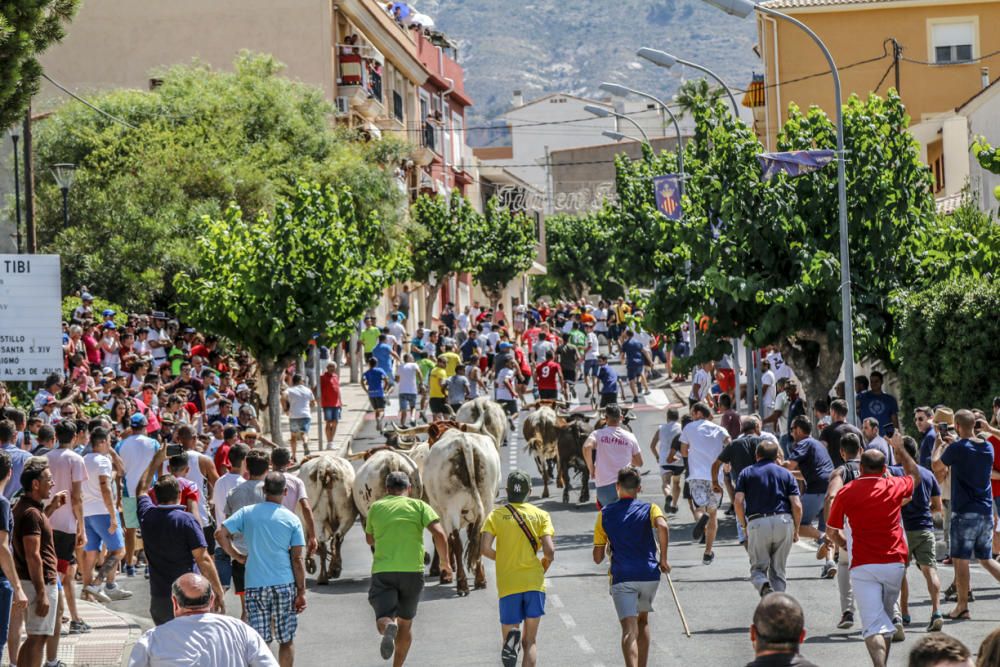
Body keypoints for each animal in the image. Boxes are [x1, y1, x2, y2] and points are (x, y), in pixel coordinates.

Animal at [298, 454, 358, 584]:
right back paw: (334, 569)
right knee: (337, 539)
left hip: (317, 519)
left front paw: (310, 563)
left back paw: (323, 576)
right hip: (346, 514)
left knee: (322, 545)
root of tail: (325, 465)